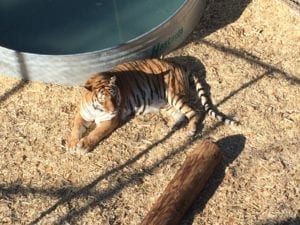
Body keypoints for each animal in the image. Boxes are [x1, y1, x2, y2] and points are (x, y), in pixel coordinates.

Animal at [67, 57, 238, 155]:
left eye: (114, 96)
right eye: (103, 100)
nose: (114, 109)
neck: (96, 109)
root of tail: (180, 65)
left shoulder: (110, 120)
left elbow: (97, 133)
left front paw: (83, 146)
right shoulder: (82, 114)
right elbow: (75, 127)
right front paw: (72, 144)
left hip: (174, 96)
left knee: (195, 112)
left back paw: (191, 129)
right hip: (164, 102)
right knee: (181, 114)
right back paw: (173, 126)